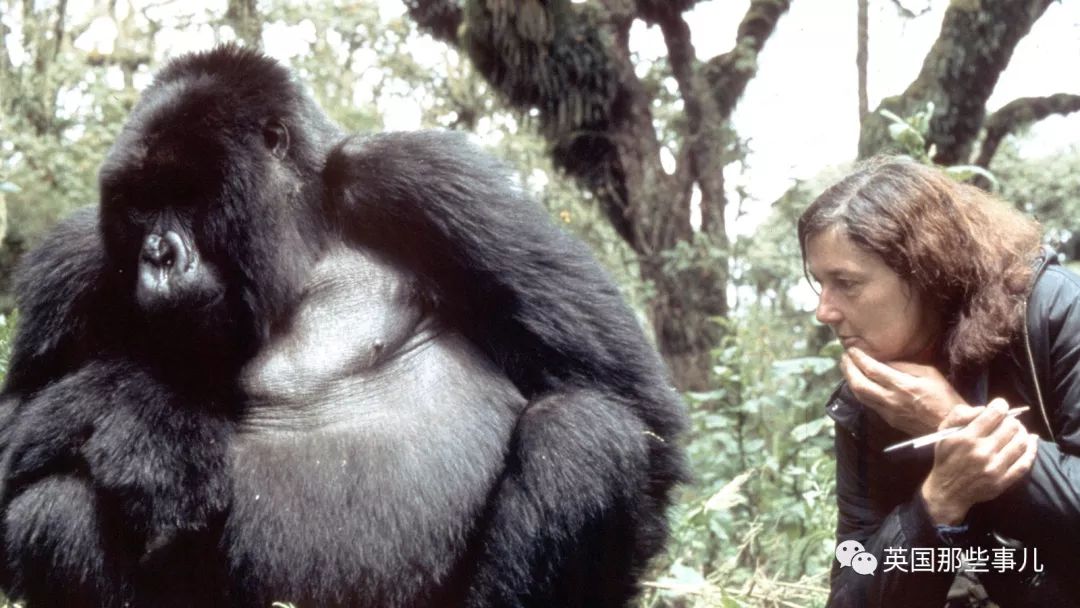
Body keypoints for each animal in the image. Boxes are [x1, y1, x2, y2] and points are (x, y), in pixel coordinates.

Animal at [0, 45, 686, 604]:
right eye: (139, 205)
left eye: (187, 194)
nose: (157, 255)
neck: (300, 241)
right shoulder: (76, 263)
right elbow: (15, 439)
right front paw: (155, 415)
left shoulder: (423, 175)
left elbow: (632, 400)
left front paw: (154, 414)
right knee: (53, 508)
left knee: (586, 431)